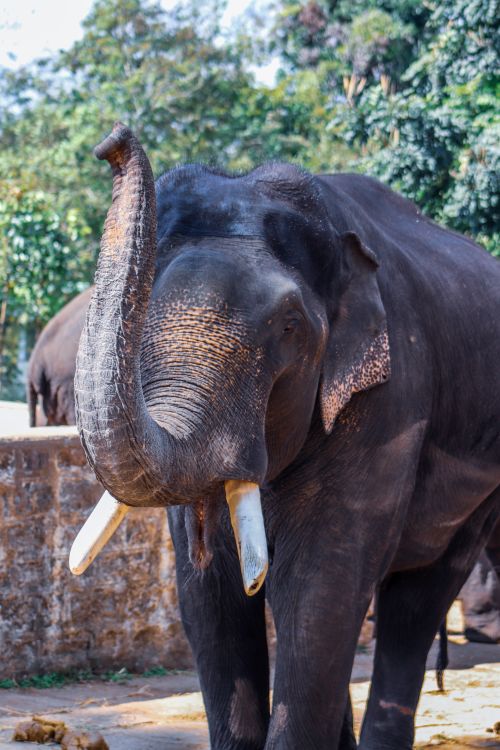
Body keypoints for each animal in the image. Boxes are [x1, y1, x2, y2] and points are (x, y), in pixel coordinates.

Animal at [71, 123, 500, 750]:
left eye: (289, 328)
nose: (112, 139)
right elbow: (209, 592)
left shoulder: (392, 398)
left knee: (419, 599)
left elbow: (319, 587)